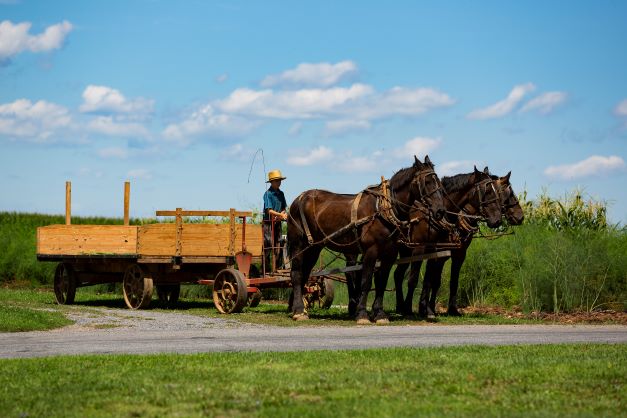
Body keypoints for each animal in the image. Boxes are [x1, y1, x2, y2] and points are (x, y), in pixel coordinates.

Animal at [288, 156, 448, 324]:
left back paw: (299, 308)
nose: (440, 211)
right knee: (297, 274)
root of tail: (299, 199)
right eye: (427, 182)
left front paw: (379, 314)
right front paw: (362, 314)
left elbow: (381, 281)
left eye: (438, 182)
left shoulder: (390, 253)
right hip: (298, 244)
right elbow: (366, 281)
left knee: (305, 273)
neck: (382, 210)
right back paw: (299, 311)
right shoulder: (371, 251)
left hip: (314, 247)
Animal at [392, 167, 506, 316]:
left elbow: (439, 281)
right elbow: (416, 279)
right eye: (486, 191)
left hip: (405, 251)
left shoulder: (452, 253)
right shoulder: (421, 250)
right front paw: (414, 309)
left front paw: (439, 309)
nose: (497, 219)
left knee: (398, 275)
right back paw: (403, 307)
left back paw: (400, 306)